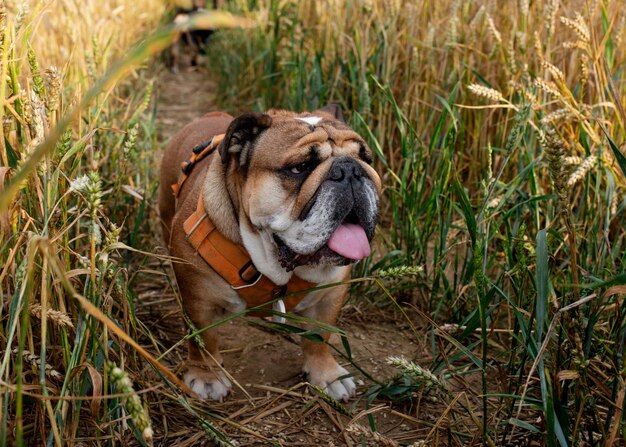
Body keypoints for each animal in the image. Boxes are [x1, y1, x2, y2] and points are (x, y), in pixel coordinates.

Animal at [158, 107, 378, 404]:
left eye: (365, 158)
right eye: (300, 167)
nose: (350, 169)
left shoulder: (330, 295)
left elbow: (321, 336)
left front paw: (327, 374)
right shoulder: (198, 299)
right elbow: (203, 338)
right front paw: (206, 376)